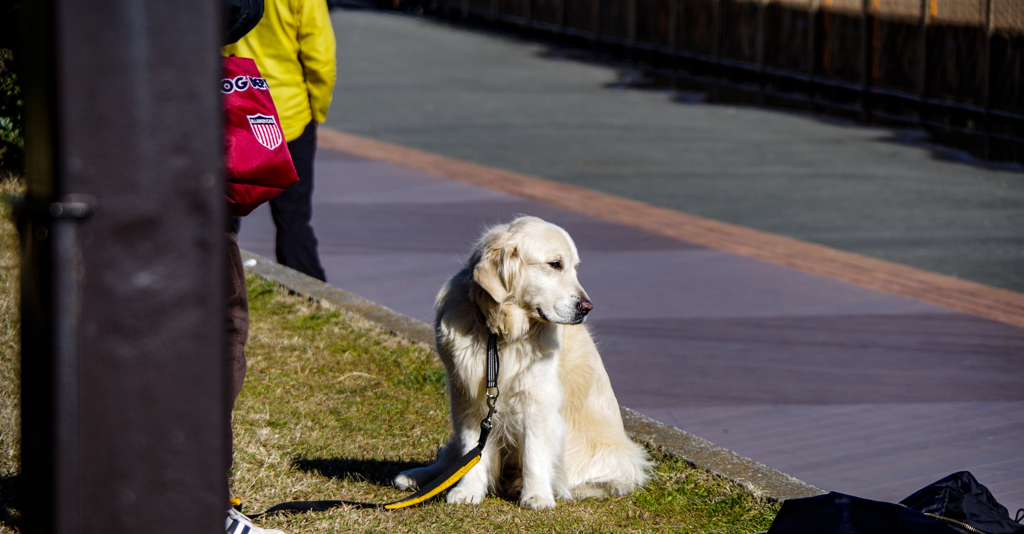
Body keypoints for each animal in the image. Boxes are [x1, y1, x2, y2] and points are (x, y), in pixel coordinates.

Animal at [391, 215, 647, 508]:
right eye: (555, 264)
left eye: (574, 267)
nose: (587, 307)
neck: (500, 332)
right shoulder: (466, 396)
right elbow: (471, 449)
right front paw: (468, 490)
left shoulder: (538, 397)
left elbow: (535, 452)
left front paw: (536, 496)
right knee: (451, 458)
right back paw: (417, 477)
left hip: (609, 457)